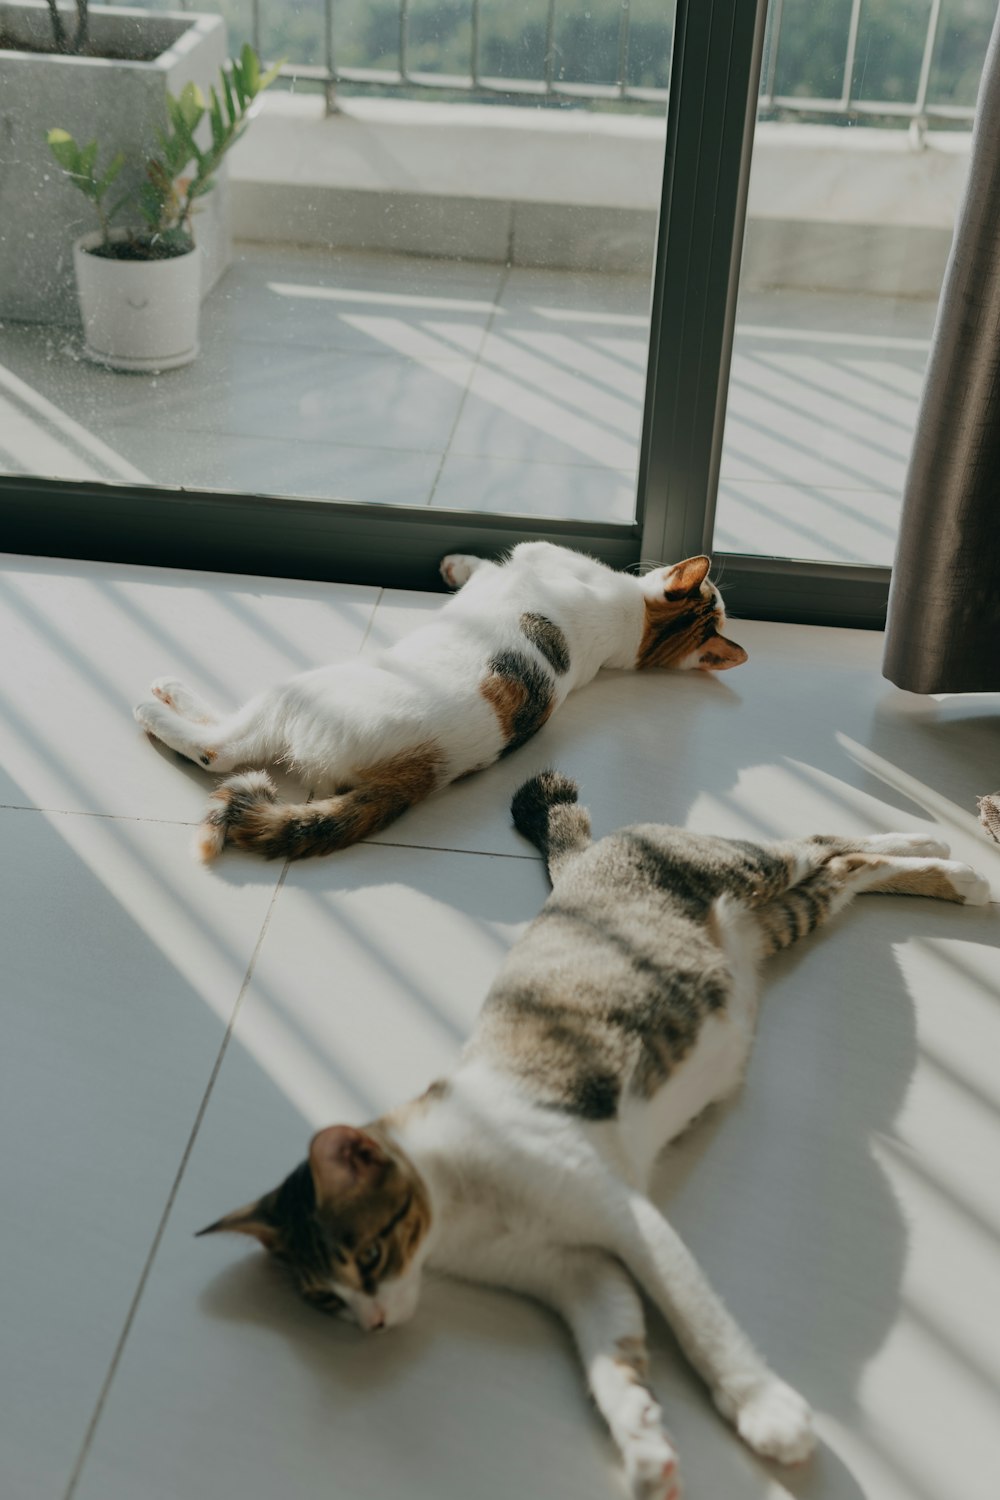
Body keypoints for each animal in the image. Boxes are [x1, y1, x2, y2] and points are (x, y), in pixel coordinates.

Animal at [131, 546, 743, 864]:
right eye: (716, 600)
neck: (633, 628)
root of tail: (422, 768)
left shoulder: (526, 559)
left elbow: (489, 562)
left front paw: (452, 564)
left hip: (294, 692)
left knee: (221, 749)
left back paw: (157, 706)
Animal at [197, 774, 995, 1500]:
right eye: (324, 1301)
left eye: (366, 1256)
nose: (372, 1324)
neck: (462, 1213)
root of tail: (581, 864)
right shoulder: (575, 1270)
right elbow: (613, 1353)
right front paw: (644, 1443)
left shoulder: (625, 1213)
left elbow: (696, 1317)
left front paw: (765, 1410)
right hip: (782, 918)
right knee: (844, 873)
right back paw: (944, 871)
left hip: (747, 868)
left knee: (820, 842)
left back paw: (938, 851)